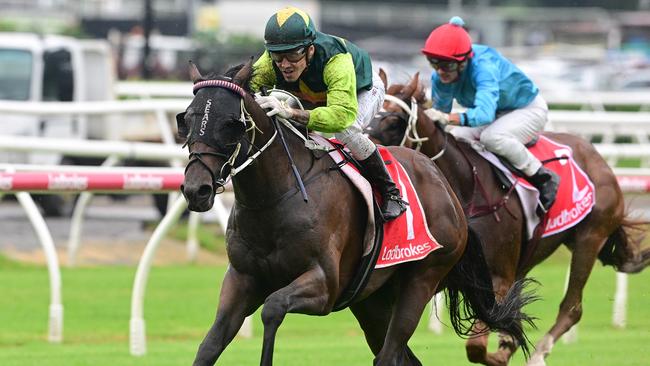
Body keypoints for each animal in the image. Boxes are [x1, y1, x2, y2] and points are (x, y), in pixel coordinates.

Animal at [175, 61, 536, 364]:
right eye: (187, 119)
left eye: (231, 124)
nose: (196, 189)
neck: (273, 200)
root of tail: (448, 190)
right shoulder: (242, 280)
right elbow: (209, 345)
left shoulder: (324, 286)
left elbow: (272, 308)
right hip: (372, 300)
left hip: (422, 279)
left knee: (389, 355)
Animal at [364, 72, 648, 366]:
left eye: (394, 121)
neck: (466, 186)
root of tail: (595, 154)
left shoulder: (497, 276)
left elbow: (477, 346)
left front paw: (504, 350)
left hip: (589, 238)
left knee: (572, 307)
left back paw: (538, 354)